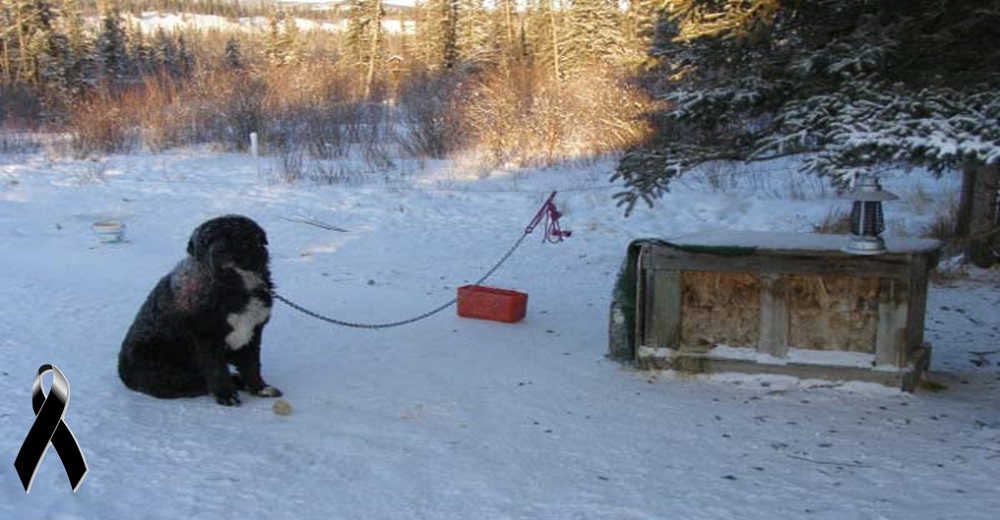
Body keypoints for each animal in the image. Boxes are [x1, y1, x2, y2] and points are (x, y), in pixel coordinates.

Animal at [123, 215, 284, 406]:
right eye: (206, 241)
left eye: (236, 235)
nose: (220, 250)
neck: (234, 287)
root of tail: (122, 374)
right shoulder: (205, 338)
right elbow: (217, 370)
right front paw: (227, 395)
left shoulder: (253, 333)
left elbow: (252, 365)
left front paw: (260, 388)